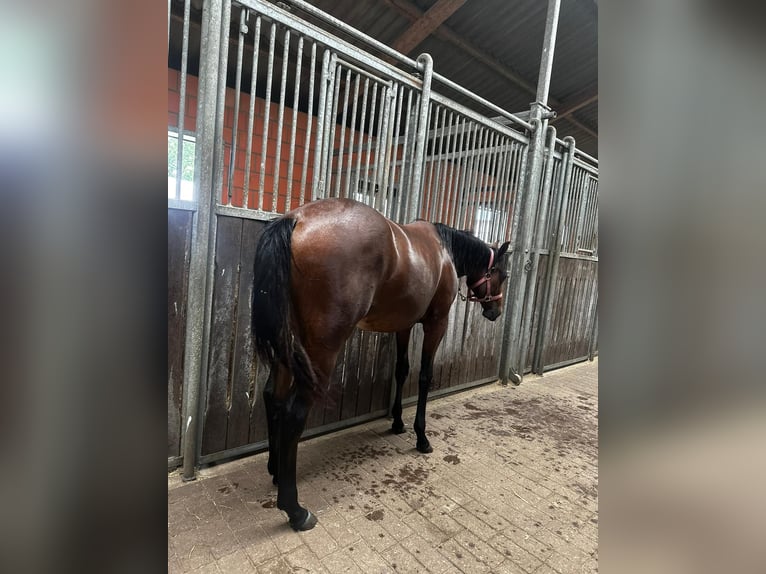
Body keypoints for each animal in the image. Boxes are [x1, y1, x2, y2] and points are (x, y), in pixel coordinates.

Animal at [252, 197, 510, 530]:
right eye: (503, 274)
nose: (495, 312)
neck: (443, 251)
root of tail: (296, 219)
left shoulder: (404, 325)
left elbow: (401, 370)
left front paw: (398, 422)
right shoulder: (435, 324)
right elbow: (424, 376)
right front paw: (421, 437)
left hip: (288, 341)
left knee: (274, 396)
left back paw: (275, 469)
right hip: (321, 351)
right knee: (294, 413)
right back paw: (295, 510)